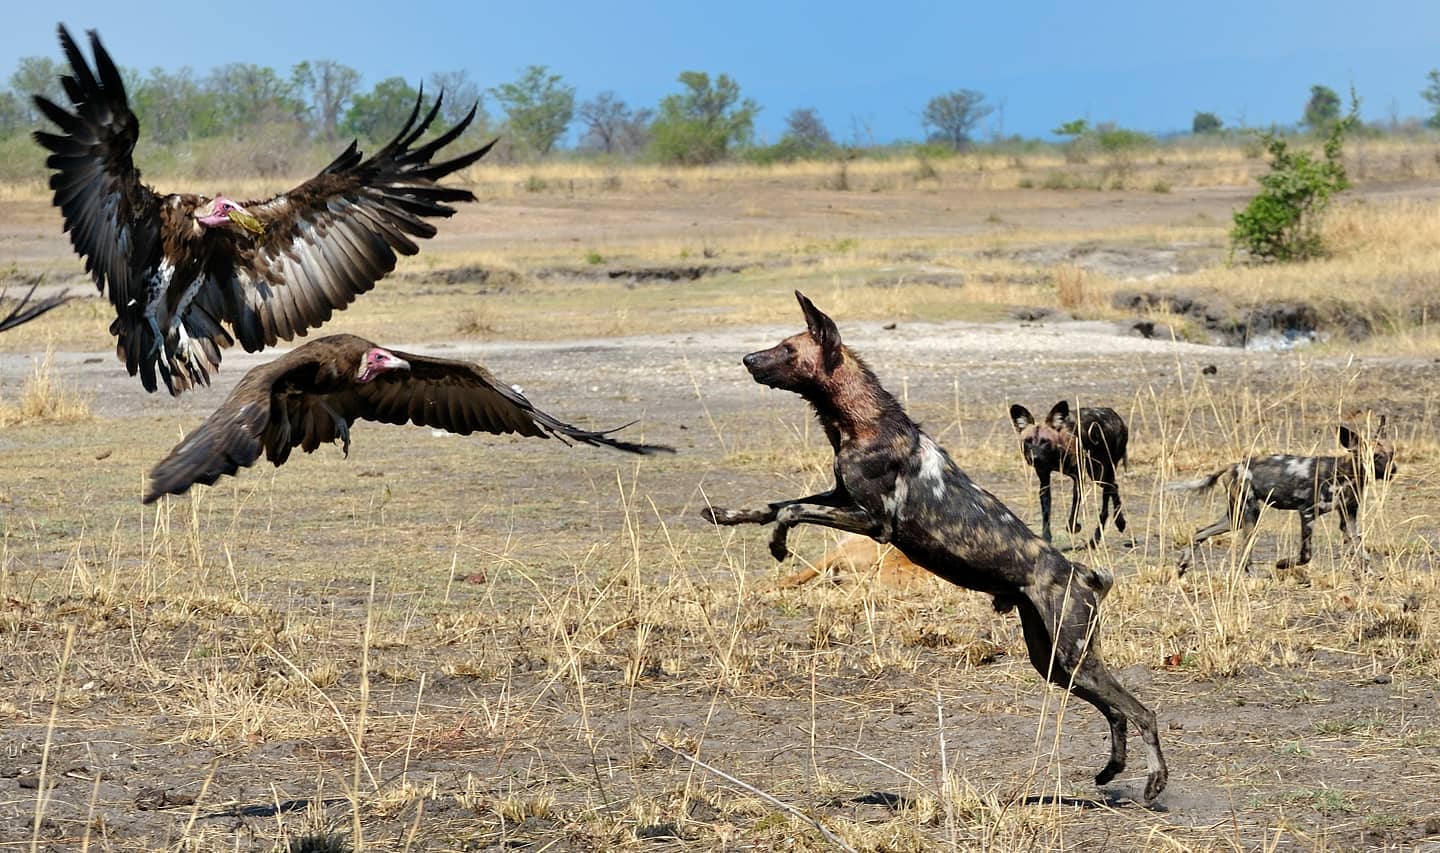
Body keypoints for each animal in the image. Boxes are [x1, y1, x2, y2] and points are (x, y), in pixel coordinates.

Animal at [1008, 400, 1128, 547]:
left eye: (1044, 442)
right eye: (1028, 441)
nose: (1034, 458)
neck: (1056, 455)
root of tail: (1115, 415)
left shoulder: (1079, 478)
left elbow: (1073, 512)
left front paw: (1074, 527)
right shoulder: (1044, 480)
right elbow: (1046, 514)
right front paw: (1046, 538)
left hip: (1100, 473)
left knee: (1108, 497)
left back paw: (1107, 531)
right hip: (1098, 475)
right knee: (1114, 487)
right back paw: (1109, 530)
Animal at [1169, 420, 1393, 573]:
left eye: (1392, 455)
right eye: (1375, 457)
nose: (1394, 470)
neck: (1346, 473)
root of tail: (1233, 465)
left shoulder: (1349, 518)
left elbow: (1362, 551)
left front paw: (1369, 575)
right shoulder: (1307, 513)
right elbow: (1305, 555)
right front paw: (1283, 564)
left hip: (1235, 518)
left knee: (1200, 532)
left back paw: (1182, 565)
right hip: (1250, 515)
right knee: (1244, 557)